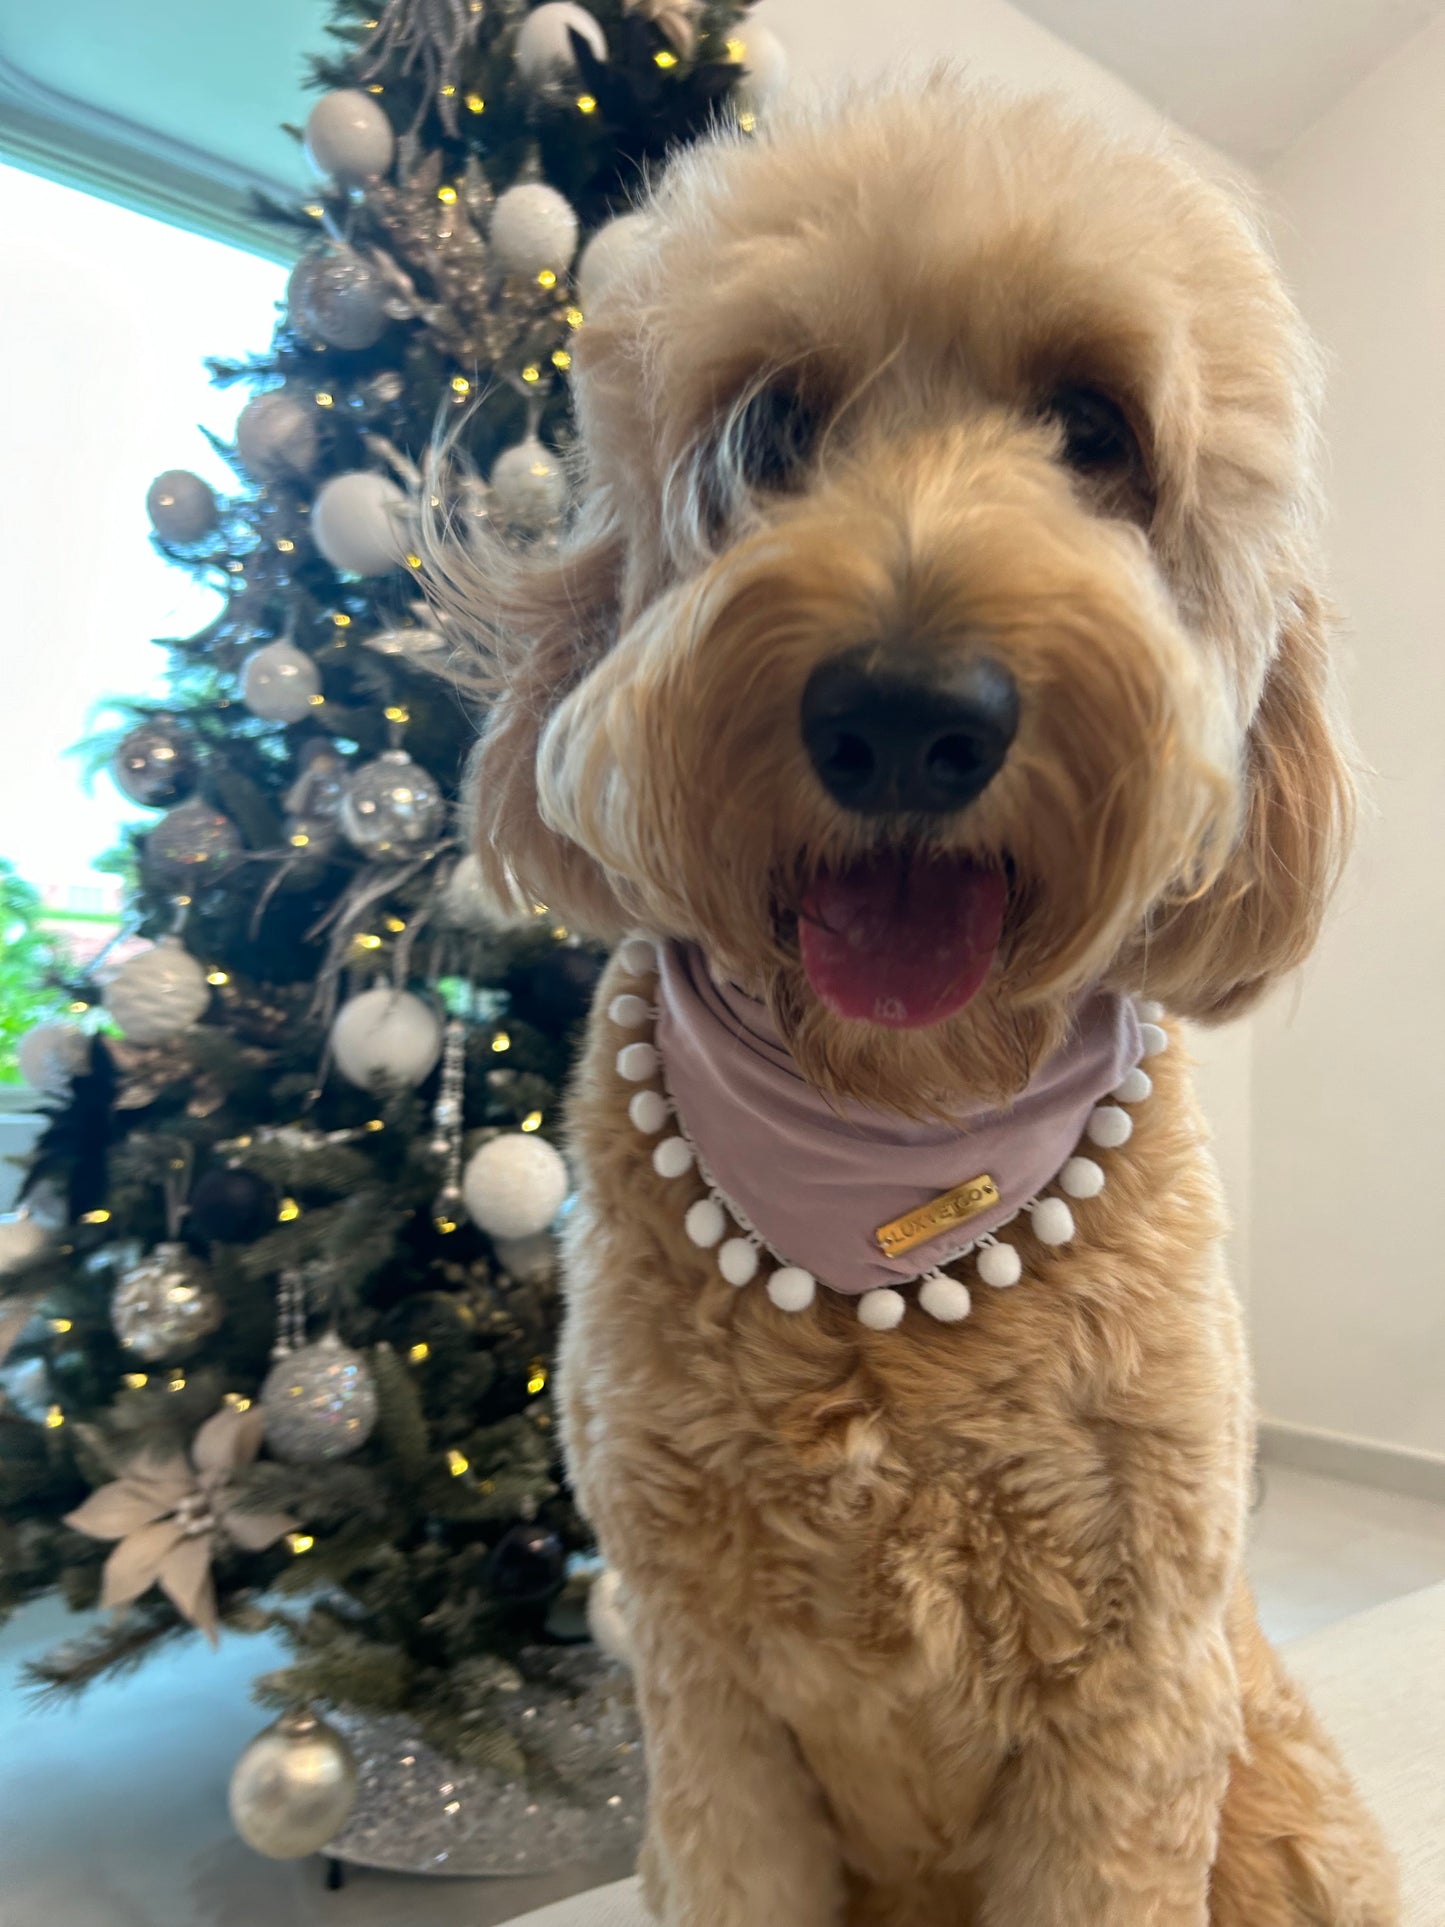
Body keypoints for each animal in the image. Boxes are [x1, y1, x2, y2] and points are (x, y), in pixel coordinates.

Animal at [441, 75, 1402, 1927]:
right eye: (766, 432)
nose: (904, 715)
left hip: (1282, 1810)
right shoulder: (704, 1707)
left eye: (1097, 428)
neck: (897, 1132)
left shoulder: (1132, 1696)